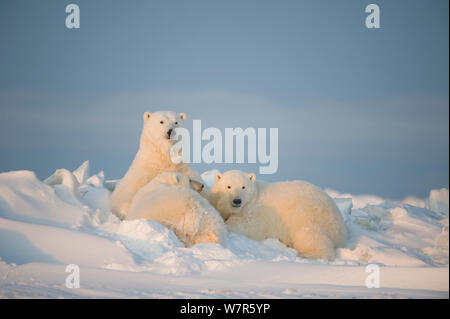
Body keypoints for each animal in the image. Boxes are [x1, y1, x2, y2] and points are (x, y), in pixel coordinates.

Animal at [212, 171, 348, 262]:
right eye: (228, 186)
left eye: (243, 187)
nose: (237, 200)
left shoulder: (256, 212)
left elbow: (246, 227)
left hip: (306, 214)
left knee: (309, 235)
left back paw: (307, 255)